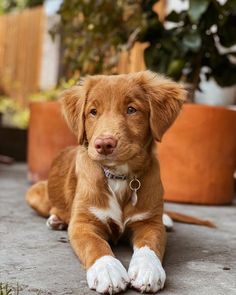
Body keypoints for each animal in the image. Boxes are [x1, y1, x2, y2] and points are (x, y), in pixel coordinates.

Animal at [26, 71, 187, 294]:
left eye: (131, 109)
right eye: (93, 112)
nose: (103, 144)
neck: (119, 177)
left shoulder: (149, 223)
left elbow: (150, 244)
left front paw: (148, 269)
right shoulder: (83, 224)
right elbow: (95, 245)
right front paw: (107, 271)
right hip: (35, 193)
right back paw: (56, 220)